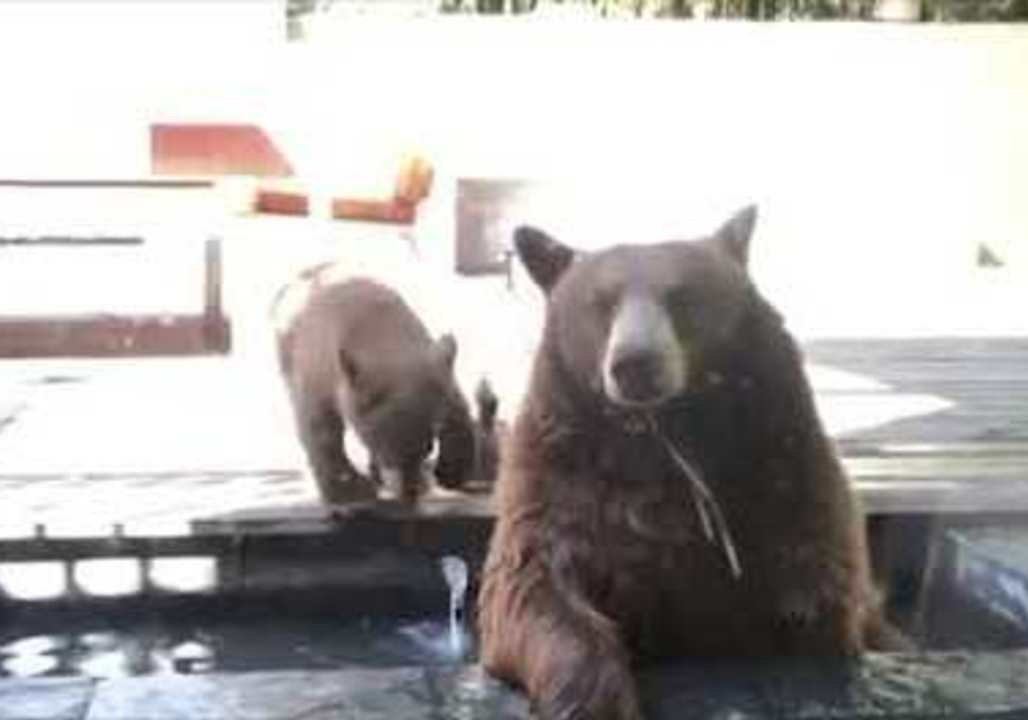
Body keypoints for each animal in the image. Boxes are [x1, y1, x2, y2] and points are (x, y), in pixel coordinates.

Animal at [272, 262, 484, 505]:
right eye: (383, 446)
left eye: (429, 446)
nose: (410, 492)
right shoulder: (318, 365)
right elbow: (320, 427)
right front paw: (349, 490)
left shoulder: (432, 365)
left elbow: (456, 408)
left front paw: (451, 471)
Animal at [477, 206, 904, 720]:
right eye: (602, 302)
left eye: (682, 295)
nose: (635, 362)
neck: (663, 438)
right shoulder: (559, 477)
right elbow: (534, 588)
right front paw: (594, 699)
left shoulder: (782, 469)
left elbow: (811, 593)